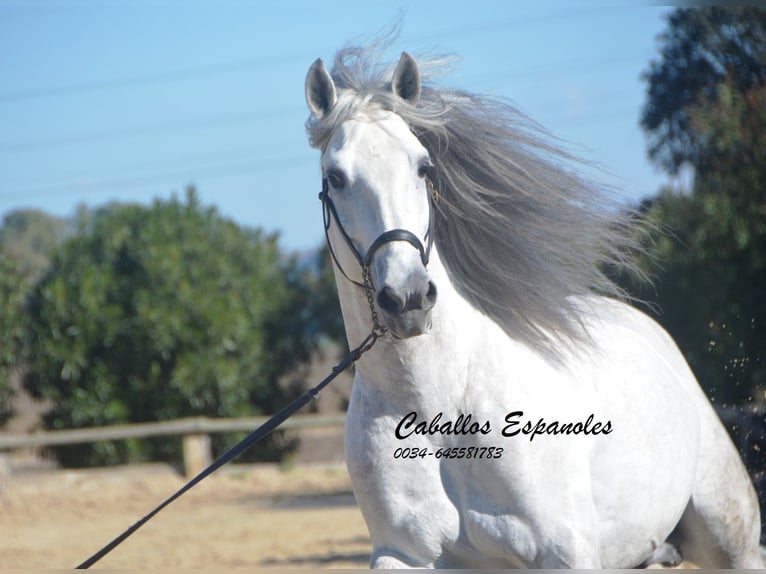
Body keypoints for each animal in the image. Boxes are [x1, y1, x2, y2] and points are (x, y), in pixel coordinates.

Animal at [304, 45, 760, 572]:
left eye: (423, 167)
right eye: (335, 178)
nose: (409, 299)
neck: (440, 409)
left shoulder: (566, 553)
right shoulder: (403, 557)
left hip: (732, 541)